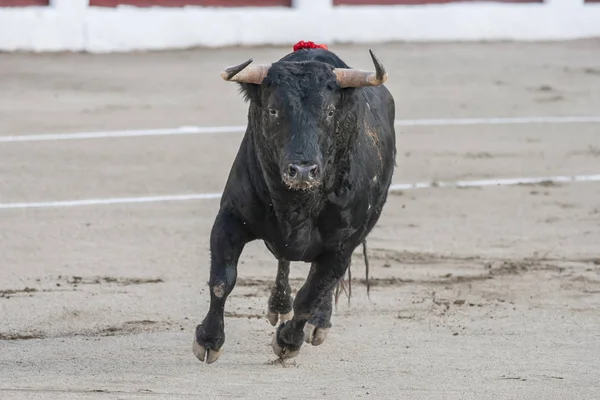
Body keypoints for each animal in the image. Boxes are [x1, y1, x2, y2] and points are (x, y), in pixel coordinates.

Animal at [193, 46, 398, 362]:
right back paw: (279, 305)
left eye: (329, 111)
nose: (302, 171)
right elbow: (222, 280)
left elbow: (311, 295)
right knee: (283, 260)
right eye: (273, 110)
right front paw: (208, 340)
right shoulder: (230, 218)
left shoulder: (343, 245)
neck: (297, 204)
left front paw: (288, 341)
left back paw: (318, 324)